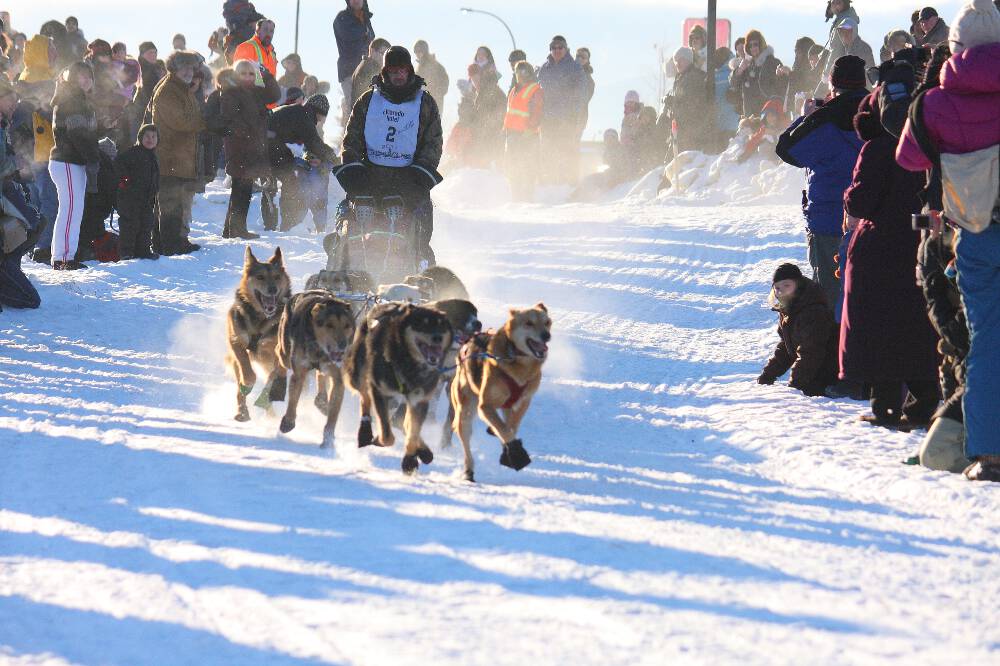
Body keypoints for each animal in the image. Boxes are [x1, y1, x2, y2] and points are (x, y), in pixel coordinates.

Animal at [226, 244, 290, 420]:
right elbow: (246, 371)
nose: (273, 289)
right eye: (260, 277)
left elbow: (272, 378)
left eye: (277, 277)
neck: (260, 318)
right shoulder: (236, 341)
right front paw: (247, 384)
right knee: (240, 386)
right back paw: (242, 411)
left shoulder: (278, 351)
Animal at [276, 290, 358, 446]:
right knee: (279, 354)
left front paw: (328, 439)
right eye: (329, 325)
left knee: (321, 375)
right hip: (285, 353)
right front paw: (288, 421)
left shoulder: (338, 378)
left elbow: (333, 415)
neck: (320, 350)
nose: (343, 345)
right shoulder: (299, 372)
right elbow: (293, 399)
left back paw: (322, 401)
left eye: (347, 325)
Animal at [346, 300, 452, 472]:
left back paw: (423, 451)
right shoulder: (380, 391)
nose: (438, 337)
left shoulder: (419, 399)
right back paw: (365, 432)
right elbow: (387, 435)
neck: (408, 362)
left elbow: (412, 431)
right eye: (422, 324)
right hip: (359, 374)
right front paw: (379, 439)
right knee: (364, 398)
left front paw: (410, 459)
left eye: (441, 325)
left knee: (404, 422)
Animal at [450, 304, 552, 480]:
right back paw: (469, 470)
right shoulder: (485, 406)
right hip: (465, 413)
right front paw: (516, 454)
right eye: (529, 323)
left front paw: (507, 448)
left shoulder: (524, 402)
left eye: (547, 322)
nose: (546, 335)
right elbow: (504, 430)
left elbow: (510, 428)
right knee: (466, 446)